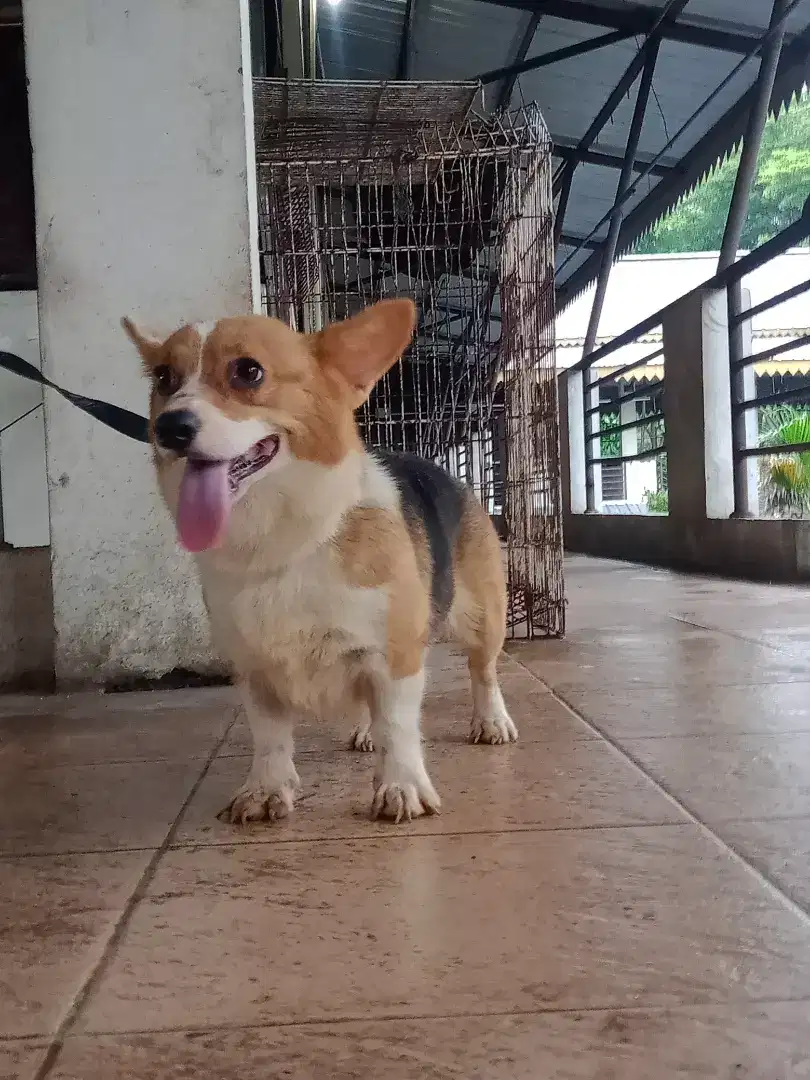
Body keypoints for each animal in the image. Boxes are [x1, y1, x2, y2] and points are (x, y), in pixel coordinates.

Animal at [123, 300, 516, 820]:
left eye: (248, 371)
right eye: (165, 377)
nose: (169, 428)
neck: (287, 541)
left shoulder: (393, 654)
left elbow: (398, 725)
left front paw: (402, 786)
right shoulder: (255, 669)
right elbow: (269, 736)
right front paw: (266, 789)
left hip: (483, 616)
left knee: (483, 670)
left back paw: (492, 720)